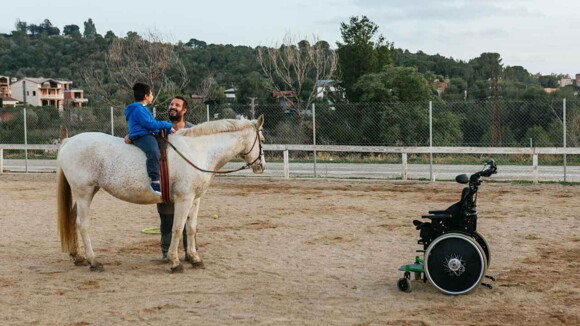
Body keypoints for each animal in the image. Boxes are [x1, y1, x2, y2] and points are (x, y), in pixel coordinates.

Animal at [56, 114, 266, 272]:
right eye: (263, 140)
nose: (261, 166)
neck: (197, 150)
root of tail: (68, 141)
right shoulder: (184, 199)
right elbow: (177, 228)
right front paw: (175, 262)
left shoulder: (195, 199)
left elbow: (191, 228)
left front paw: (194, 258)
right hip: (84, 192)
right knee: (83, 224)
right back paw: (93, 261)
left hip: (85, 193)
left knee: (73, 219)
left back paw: (78, 256)